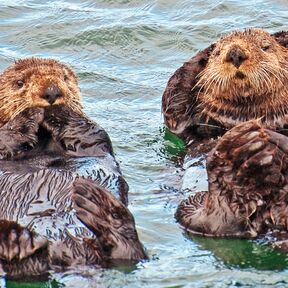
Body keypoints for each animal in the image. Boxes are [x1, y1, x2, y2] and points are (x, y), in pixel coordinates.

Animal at [0, 58, 146, 280]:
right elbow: (5, 136)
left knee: (130, 253)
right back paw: (16, 243)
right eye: (19, 83)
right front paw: (27, 116)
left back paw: (102, 209)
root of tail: (74, 257)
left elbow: (88, 132)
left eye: (65, 78)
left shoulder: (93, 140)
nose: (52, 92)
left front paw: (59, 112)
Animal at [161, 28, 288, 245]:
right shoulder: (181, 123)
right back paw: (238, 158)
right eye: (219, 52)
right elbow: (174, 96)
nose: (235, 53)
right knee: (214, 222)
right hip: (192, 203)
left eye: (265, 46)